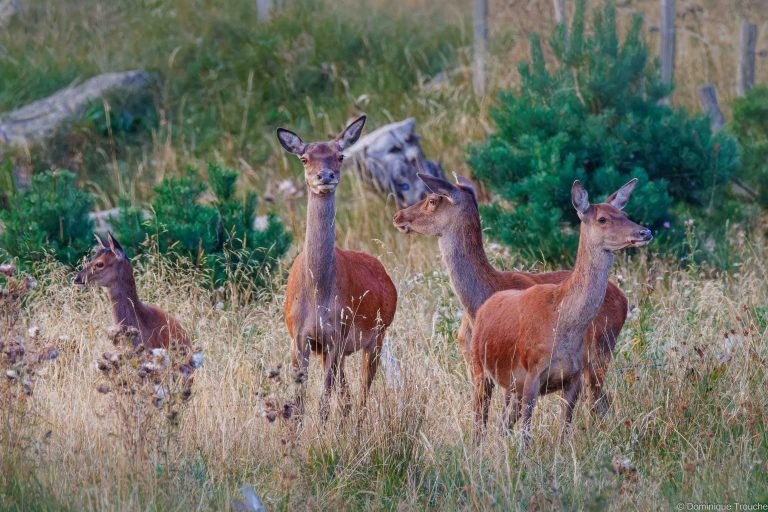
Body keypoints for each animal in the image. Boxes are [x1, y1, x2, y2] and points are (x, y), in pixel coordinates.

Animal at [276, 115, 398, 420]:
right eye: (304, 158)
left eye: (340, 155)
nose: (326, 176)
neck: (317, 291)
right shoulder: (299, 338)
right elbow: (299, 404)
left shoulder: (336, 336)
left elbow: (323, 401)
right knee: (347, 394)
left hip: (378, 334)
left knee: (363, 391)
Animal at [392, 173, 628, 418]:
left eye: (432, 200)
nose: (398, 216)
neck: (477, 304)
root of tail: (624, 298)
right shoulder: (475, 364)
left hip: (601, 351)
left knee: (598, 402)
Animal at [470, 179, 652, 445]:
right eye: (603, 219)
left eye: (625, 214)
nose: (645, 232)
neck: (562, 323)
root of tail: (484, 307)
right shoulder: (532, 372)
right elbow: (526, 432)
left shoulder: (575, 376)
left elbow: (565, 428)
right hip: (478, 367)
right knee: (480, 421)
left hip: (512, 383)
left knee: (503, 423)